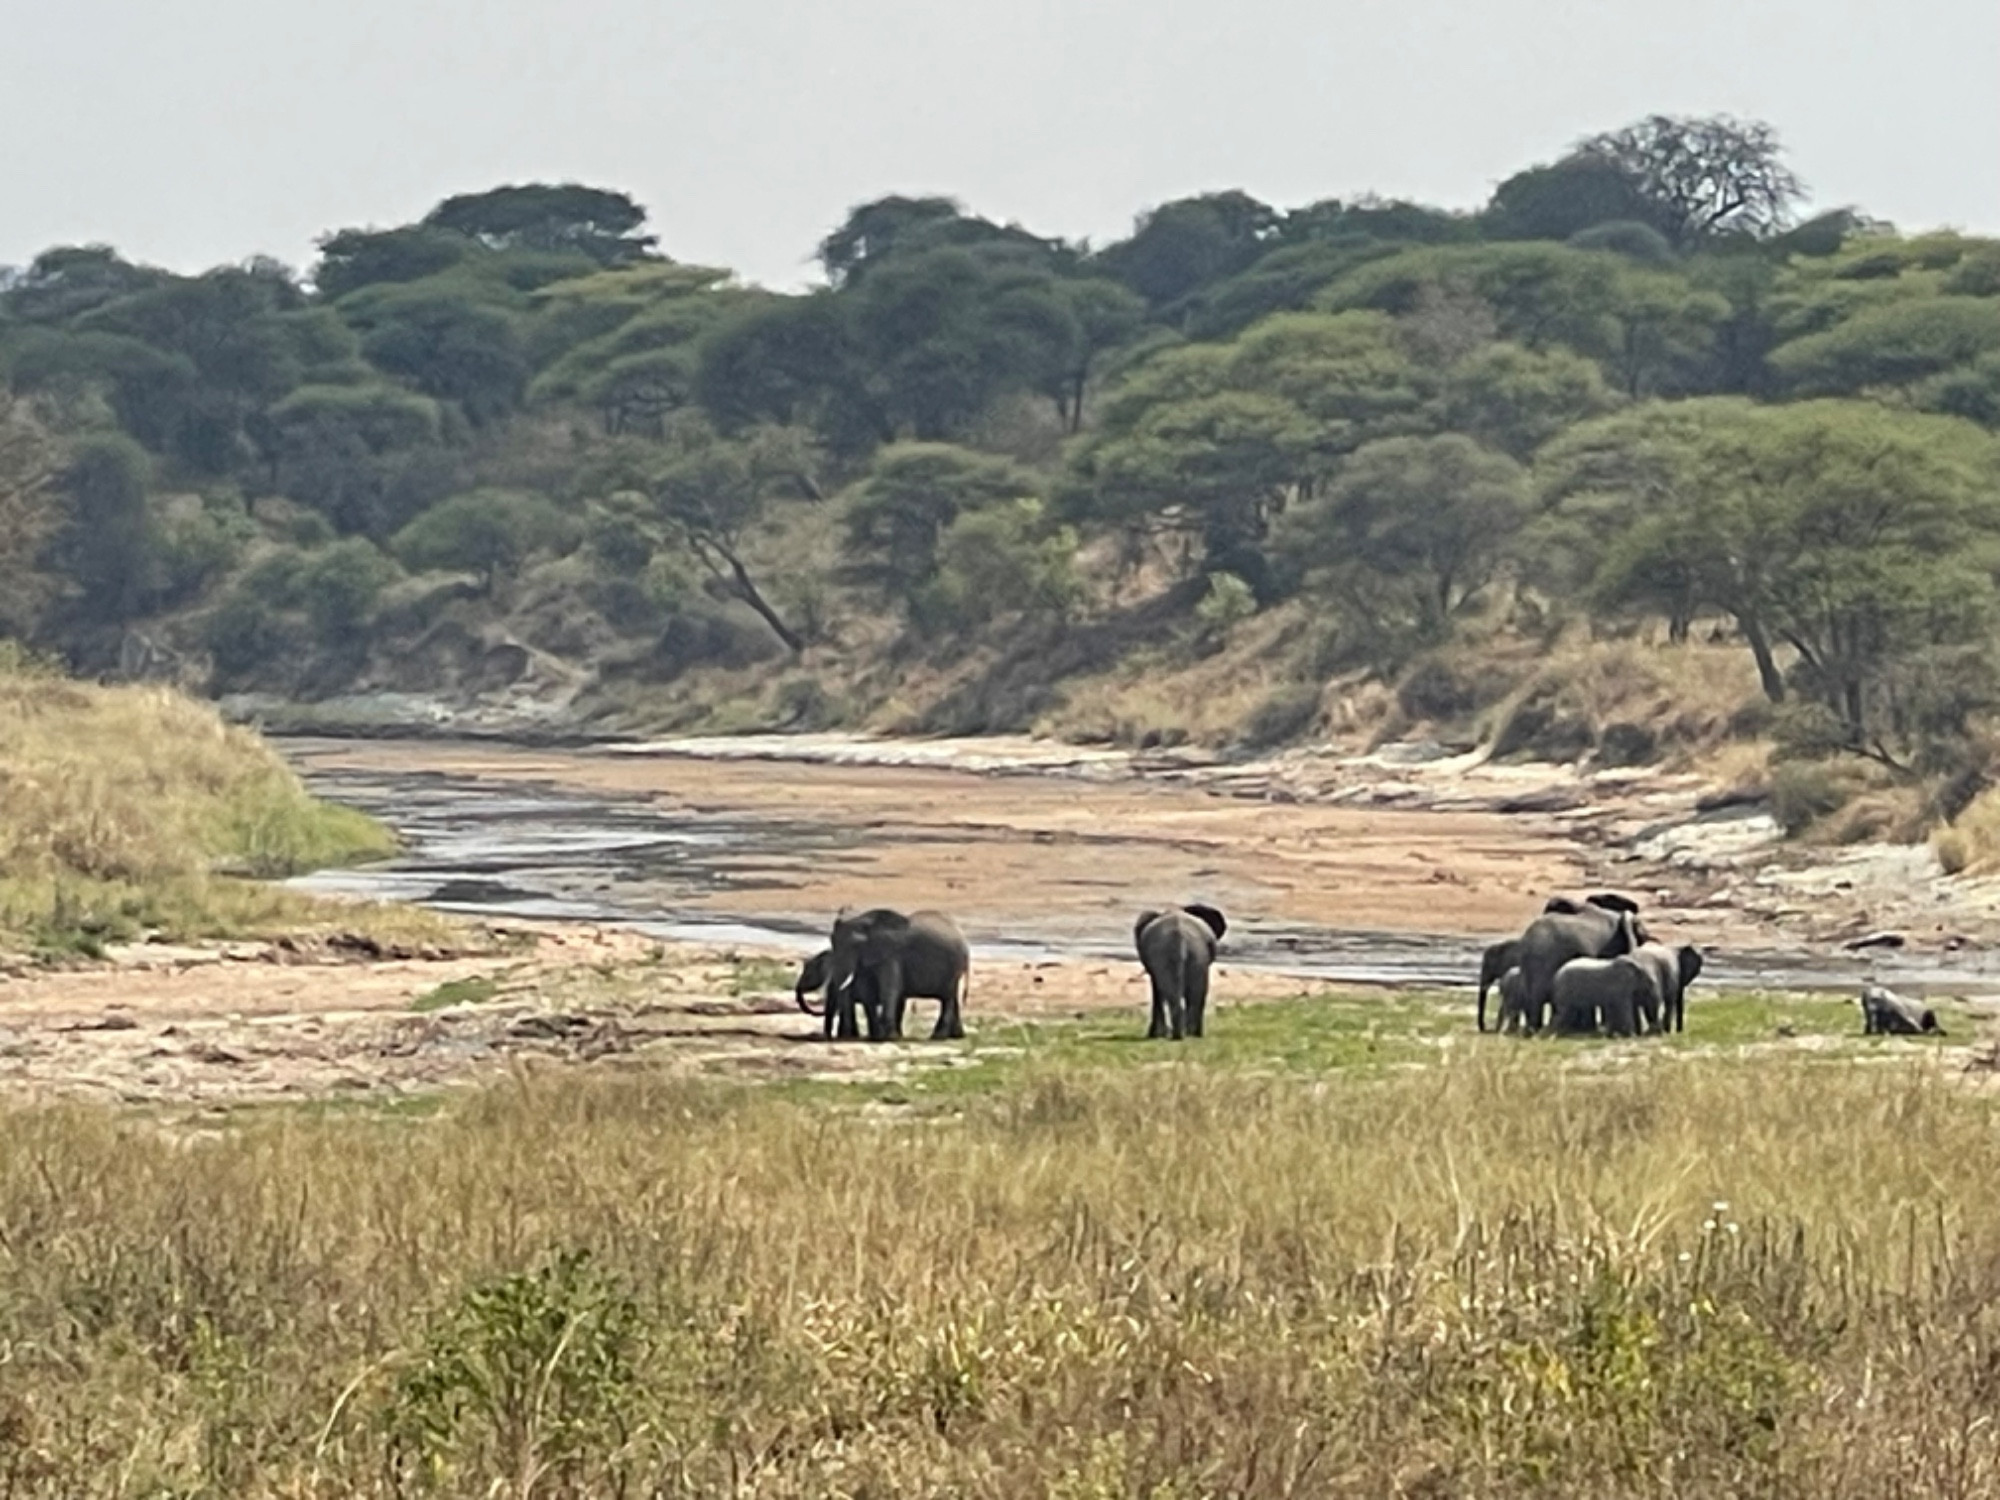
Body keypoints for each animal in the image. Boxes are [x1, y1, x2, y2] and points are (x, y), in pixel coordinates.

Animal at [824, 912, 972, 1040]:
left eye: (855, 946)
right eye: (832, 943)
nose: (846, 1036)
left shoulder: (892, 955)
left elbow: (889, 990)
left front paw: (889, 1037)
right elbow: (868, 993)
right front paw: (878, 1037)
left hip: (954, 965)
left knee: (947, 998)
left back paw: (938, 1037)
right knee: (952, 997)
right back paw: (957, 1036)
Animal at [1136, 904, 1224, 1048]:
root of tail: (1180, 936)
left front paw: (1155, 1035)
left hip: (1182, 954)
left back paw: (1183, 1034)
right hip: (1192, 954)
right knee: (1195, 992)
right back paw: (1187, 1034)